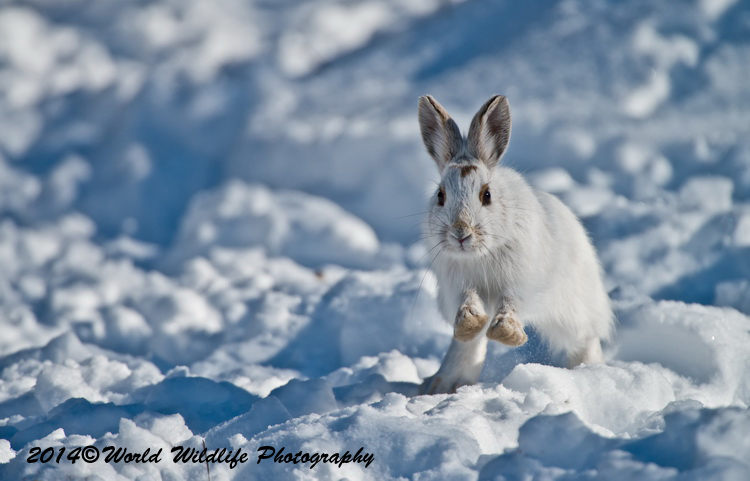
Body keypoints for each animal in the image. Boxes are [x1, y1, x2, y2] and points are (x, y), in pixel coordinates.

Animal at [417, 95, 614, 394]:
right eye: (440, 195)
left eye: (486, 195)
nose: (461, 233)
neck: (480, 253)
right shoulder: (459, 284)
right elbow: (467, 305)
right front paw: (471, 323)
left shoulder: (520, 282)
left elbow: (511, 304)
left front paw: (506, 333)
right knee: (468, 345)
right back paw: (444, 384)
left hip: (574, 309)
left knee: (584, 340)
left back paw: (588, 372)